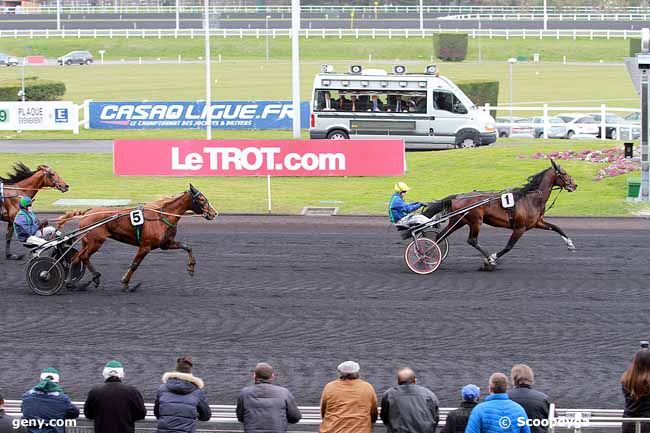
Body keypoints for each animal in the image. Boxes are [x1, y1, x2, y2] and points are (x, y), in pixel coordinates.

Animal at [56, 184, 218, 292]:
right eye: (201, 199)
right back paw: (76, 281)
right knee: (81, 257)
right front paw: (126, 283)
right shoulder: (145, 246)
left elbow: (187, 246)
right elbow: (134, 264)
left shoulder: (165, 244)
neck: (162, 217)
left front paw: (191, 268)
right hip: (96, 242)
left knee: (78, 257)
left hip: (87, 242)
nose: (214, 213)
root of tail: (88, 212)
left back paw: (84, 279)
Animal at [420, 159, 576, 270]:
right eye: (564, 173)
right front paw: (492, 258)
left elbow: (557, 228)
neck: (531, 198)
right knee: (472, 240)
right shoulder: (520, 228)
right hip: (476, 221)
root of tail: (457, 197)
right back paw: (488, 259)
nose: (574, 185)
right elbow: (509, 246)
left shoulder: (537, 223)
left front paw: (570, 244)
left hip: (459, 221)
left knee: (440, 237)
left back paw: (428, 256)